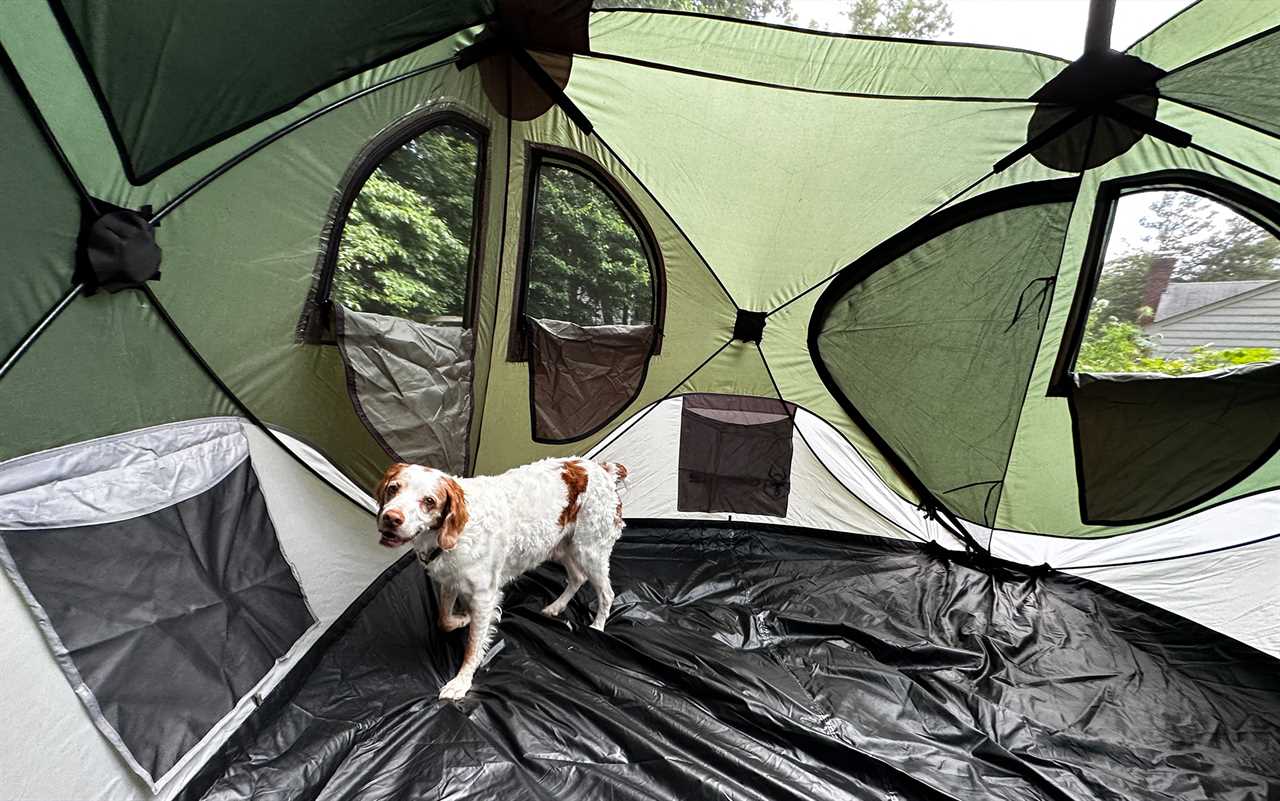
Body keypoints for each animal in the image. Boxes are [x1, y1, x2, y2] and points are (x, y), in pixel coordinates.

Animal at [373, 455, 627, 696]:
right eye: (393, 488)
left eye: (429, 501)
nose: (391, 518)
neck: (457, 532)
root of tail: (603, 469)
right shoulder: (450, 581)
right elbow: (444, 620)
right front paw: (463, 619)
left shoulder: (484, 596)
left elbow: (473, 645)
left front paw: (461, 683)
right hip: (560, 547)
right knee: (577, 577)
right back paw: (556, 607)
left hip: (590, 551)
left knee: (606, 593)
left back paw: (597, 627)